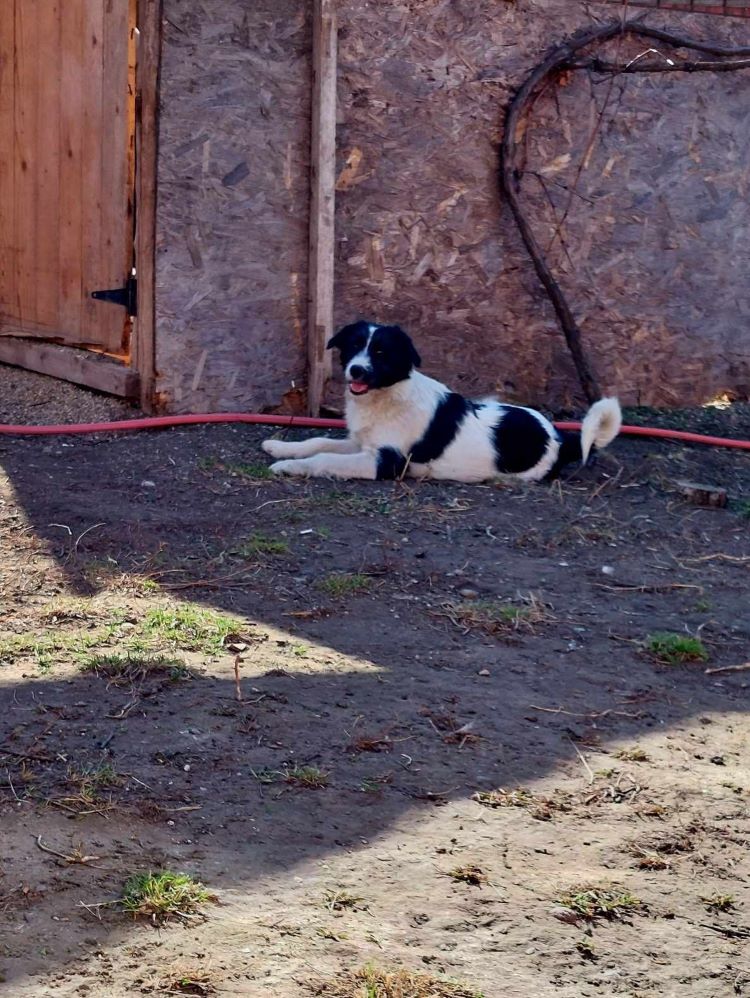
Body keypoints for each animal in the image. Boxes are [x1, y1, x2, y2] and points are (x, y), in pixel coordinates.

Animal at [264, 324, 624, 484]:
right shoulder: (361, 443)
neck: (389, 396)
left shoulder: (386, 462)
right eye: (353, 346)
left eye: (381, 352)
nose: (357, 370)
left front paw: (290, 466)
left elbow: (324, 457)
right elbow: (318, 440)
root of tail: (561, 438)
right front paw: (281, 448)